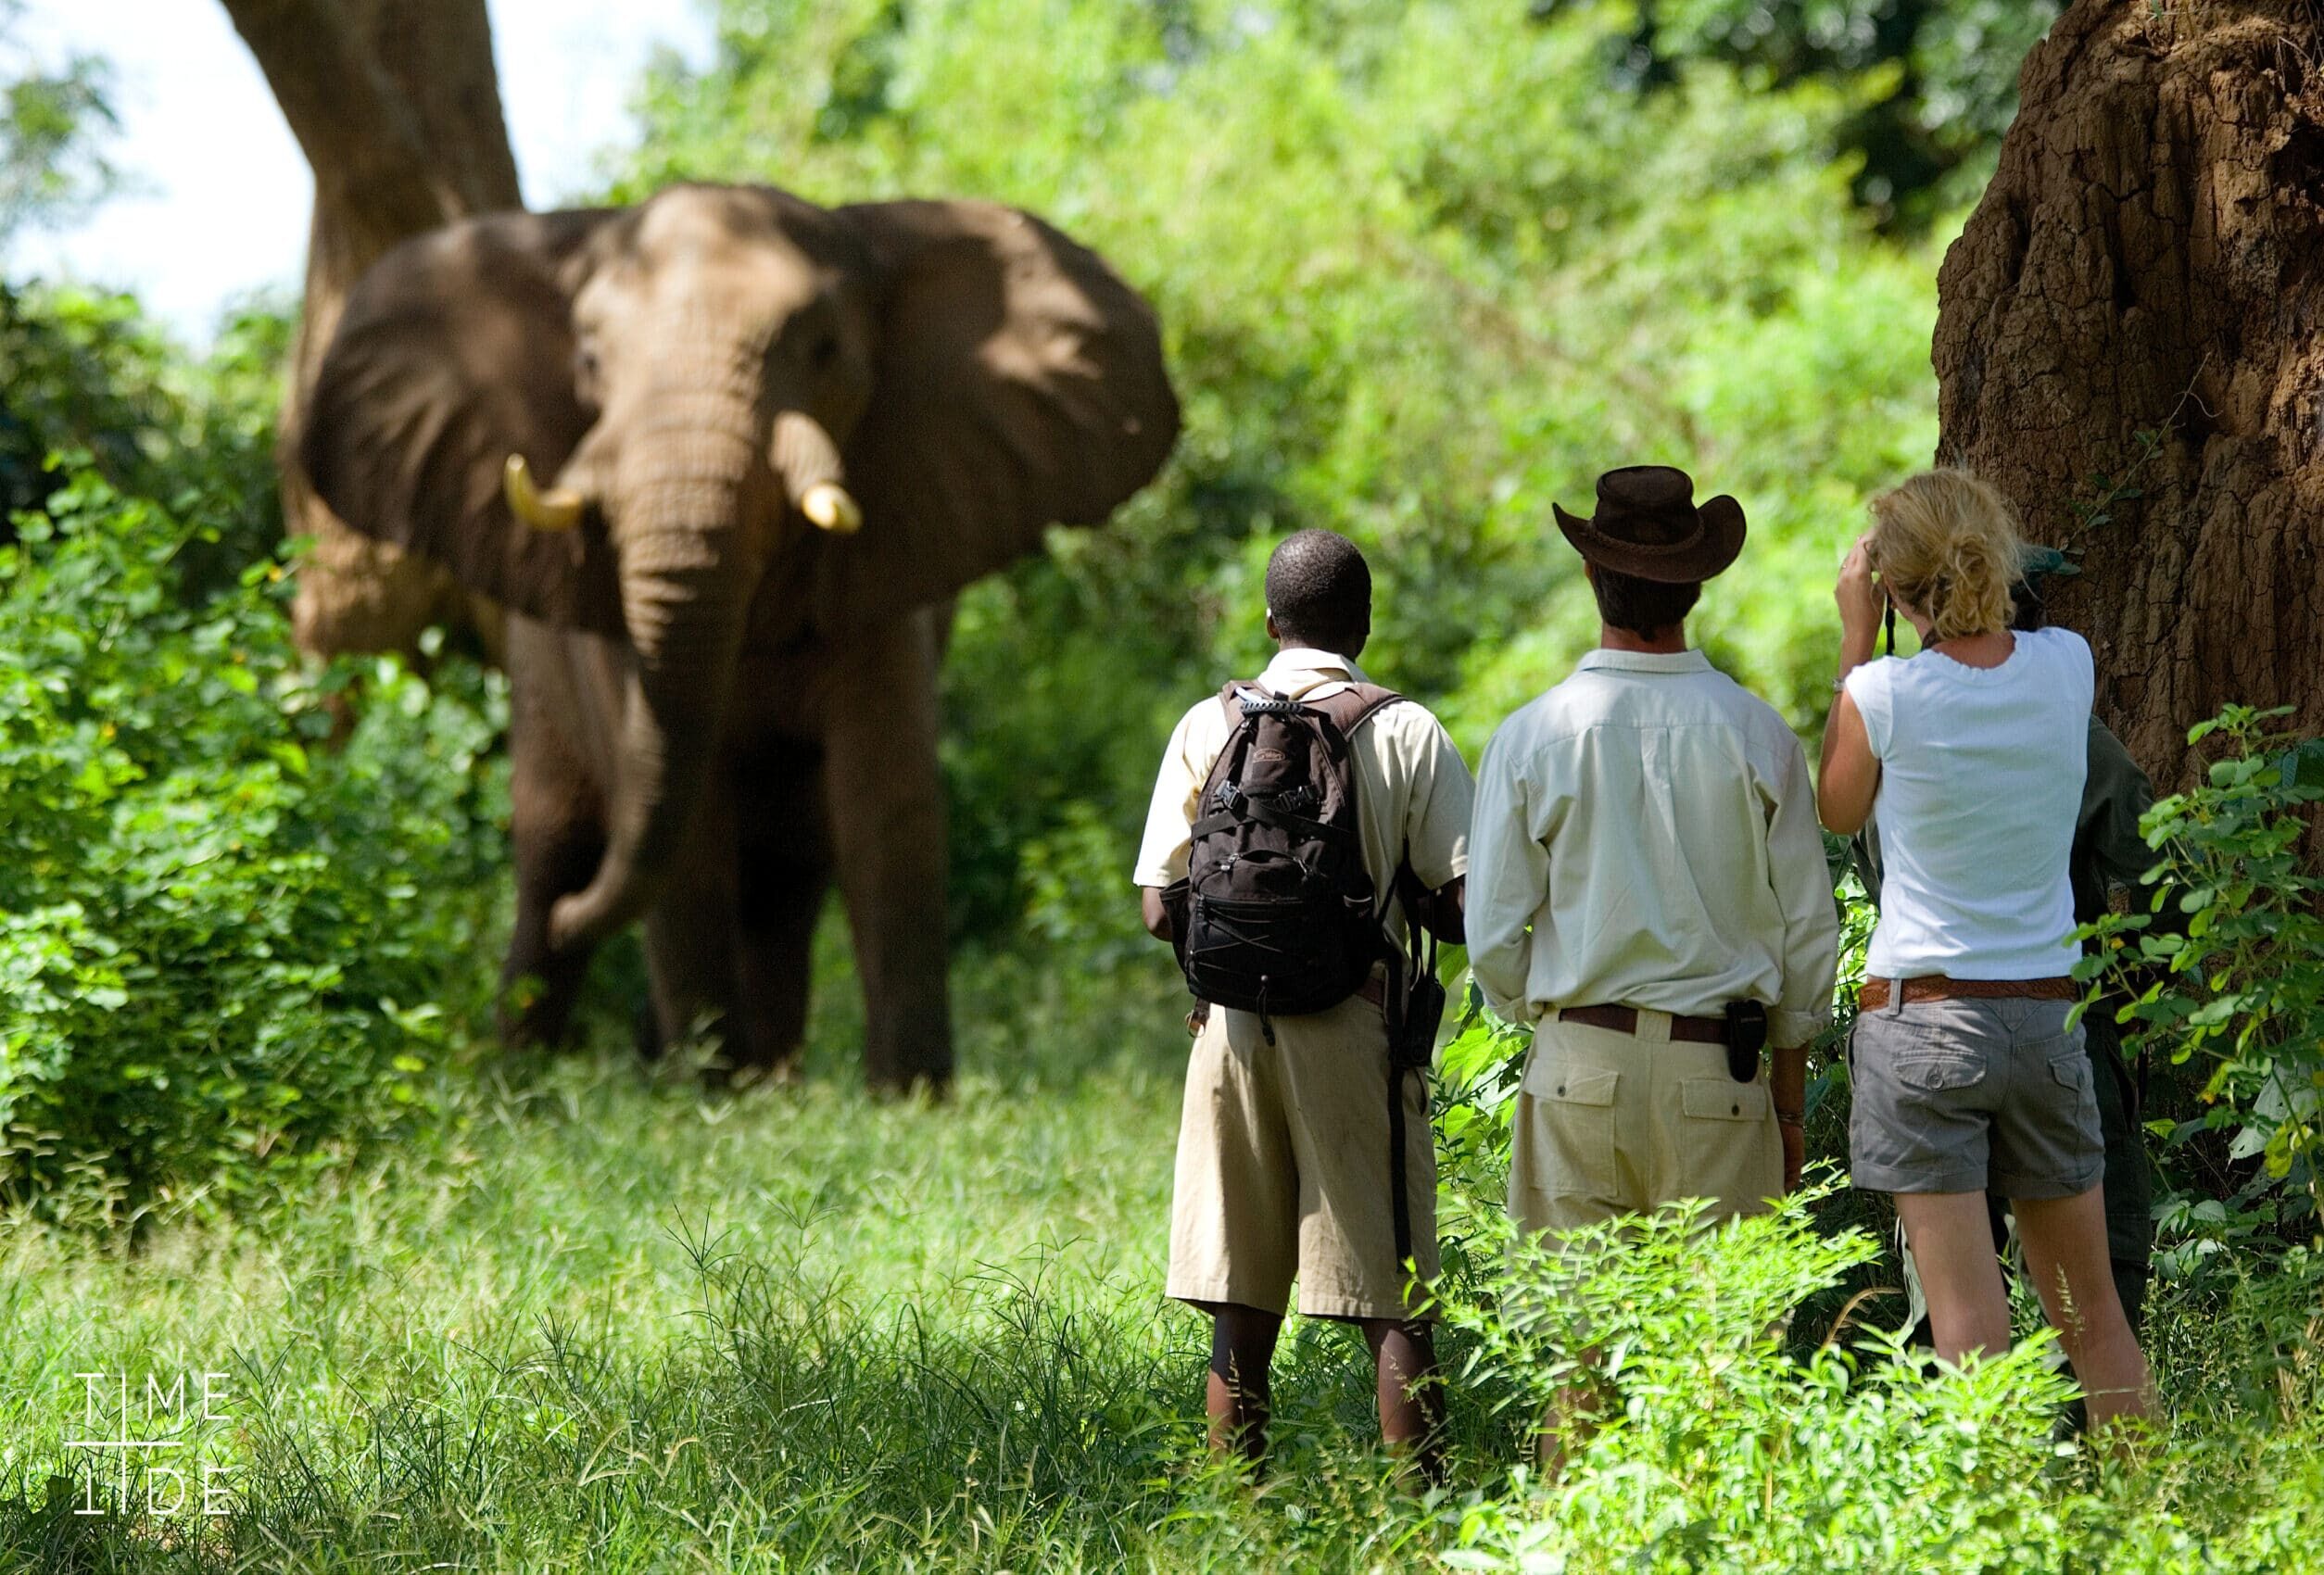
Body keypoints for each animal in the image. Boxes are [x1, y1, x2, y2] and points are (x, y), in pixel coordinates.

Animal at [302, 182, 1181, 1087]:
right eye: (590, 362)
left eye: (824, 350)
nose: (653, 1041)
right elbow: (685, 830)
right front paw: (706, 1090)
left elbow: (888, 805)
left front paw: (906, 1095)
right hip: (538, 677)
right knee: (552, 852)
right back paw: (539, 1071)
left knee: (784, 875)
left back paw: (767, 1075)